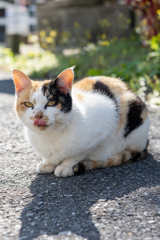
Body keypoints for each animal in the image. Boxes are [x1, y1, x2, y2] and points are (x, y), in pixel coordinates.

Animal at [11, 66, 150, 177]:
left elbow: (78, 154)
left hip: (132, 107)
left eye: (51, 103)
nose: (38, 115)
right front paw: (48, 163)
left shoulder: (104, 125)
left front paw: (65, 166)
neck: (50, 135)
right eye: (28, 104)